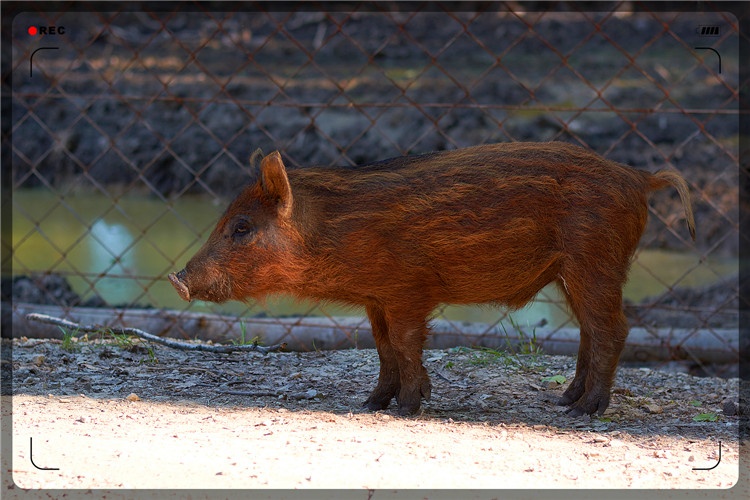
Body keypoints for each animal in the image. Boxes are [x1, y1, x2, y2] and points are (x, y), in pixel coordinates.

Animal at [170, 142, 700, 418]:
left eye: (242, 227)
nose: (178, 278)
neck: (334, 235)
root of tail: (639, 177)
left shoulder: (407, 290)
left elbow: (406, 344)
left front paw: (406, 408)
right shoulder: (376, 298)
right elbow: (383, 347)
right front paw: (371, 404)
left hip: (594, 260)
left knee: (614, 329)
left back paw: (582, 412)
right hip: (575, 272)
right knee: (591, 329)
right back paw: (562, 400)